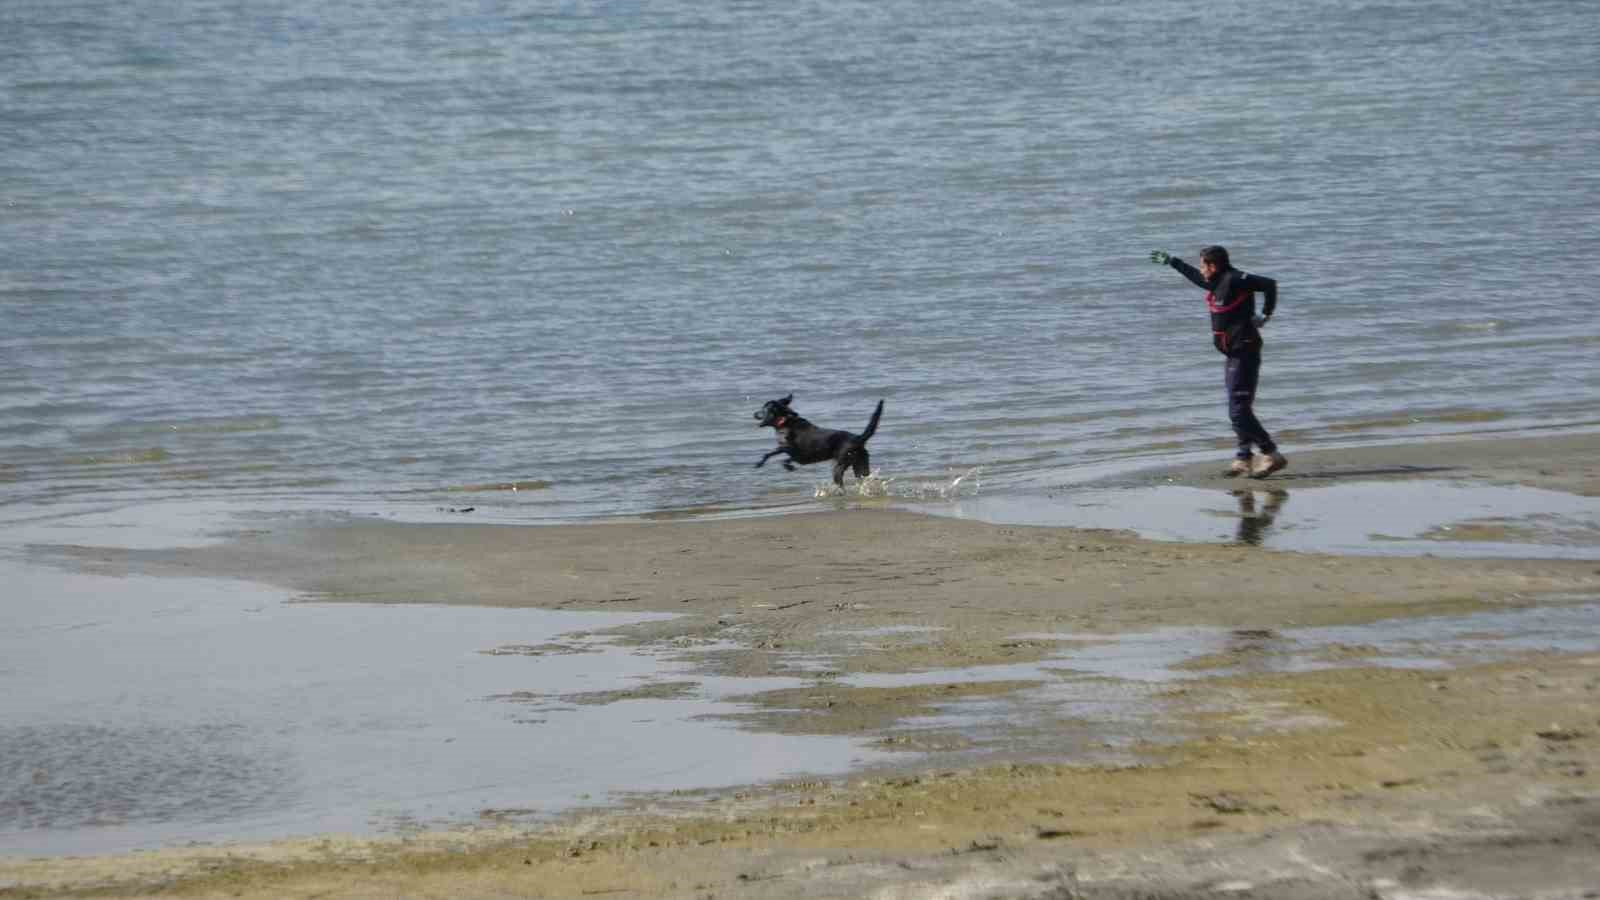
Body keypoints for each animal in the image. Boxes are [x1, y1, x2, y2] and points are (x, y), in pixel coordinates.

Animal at [752, 392, 889, 486]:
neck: (784, 421)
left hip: (841, 463)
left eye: (762, 409)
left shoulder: (794, 450)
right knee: (866, 477)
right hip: (861, 464)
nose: (753, 413)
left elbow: (777, 456)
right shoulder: (789, 451)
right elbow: (773, 454)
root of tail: (858, 438)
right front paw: (761, 463)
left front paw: (787, 466)